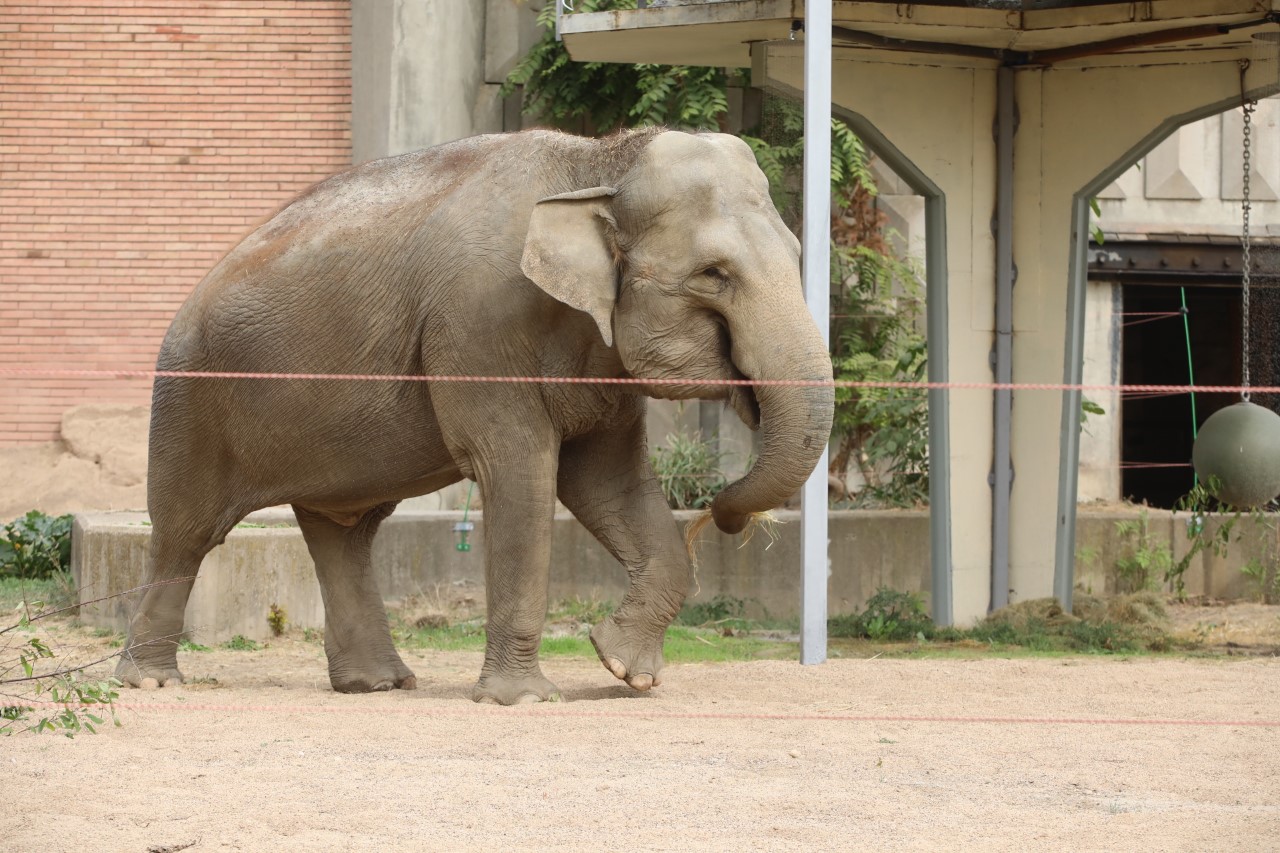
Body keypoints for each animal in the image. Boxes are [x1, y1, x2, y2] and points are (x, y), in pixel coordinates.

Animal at [115, 124, 834, 696]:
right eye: (715, 274)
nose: (722, 511)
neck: (596, 162)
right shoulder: (479, 326)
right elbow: (521, 473)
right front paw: (525, 698)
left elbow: (611, 484)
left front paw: (624, 670)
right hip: (189, 394)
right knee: (185, 533)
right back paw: (151, 681)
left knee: (344, 534)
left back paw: (380, 684)